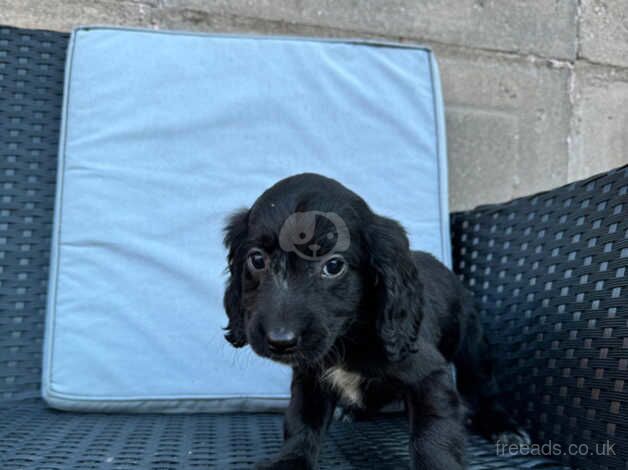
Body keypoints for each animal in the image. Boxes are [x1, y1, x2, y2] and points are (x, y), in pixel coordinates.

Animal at [223, 173, 528, 470]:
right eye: (256, 260)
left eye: (333, 265)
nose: (280, 341)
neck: (348, 338)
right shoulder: (310, 379)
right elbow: (301, 424)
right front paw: (289, 461)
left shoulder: (429, 375)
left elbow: (432, 436)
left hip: (471, 344)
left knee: (484, 386)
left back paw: (504, 426)